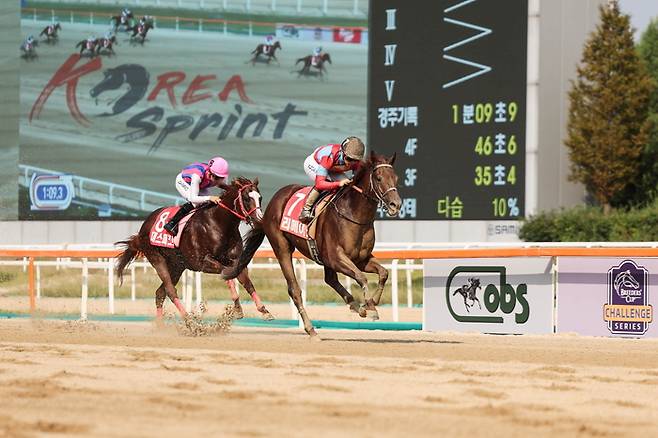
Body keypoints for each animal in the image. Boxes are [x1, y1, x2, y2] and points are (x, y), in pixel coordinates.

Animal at [114, 176, 272, 324]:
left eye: (260, 197)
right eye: (246, 198)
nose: (259, 219)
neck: (219, 224)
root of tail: (143, 228)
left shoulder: (235, 260)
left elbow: (246, 282)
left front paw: (263, 310)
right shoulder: (203, 262)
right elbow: (226, 273)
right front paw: (237, 307)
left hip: (177, 266)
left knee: (160, 293)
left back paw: (160, 326)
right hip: (156, 258)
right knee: (170, 290)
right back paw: (189, 320)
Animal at [224, 151, 400, 338]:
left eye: (395, 177)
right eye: (379, 178)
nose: (396, 204)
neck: (353, 215)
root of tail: (273, 201)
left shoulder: (360, 259)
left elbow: (383, 273)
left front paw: (372, 302)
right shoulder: (336, 258)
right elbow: (361, 277)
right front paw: (371, 307)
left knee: (330, 279)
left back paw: (354, 305)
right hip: (282, 248)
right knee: (294, 289)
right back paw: (311, 328)